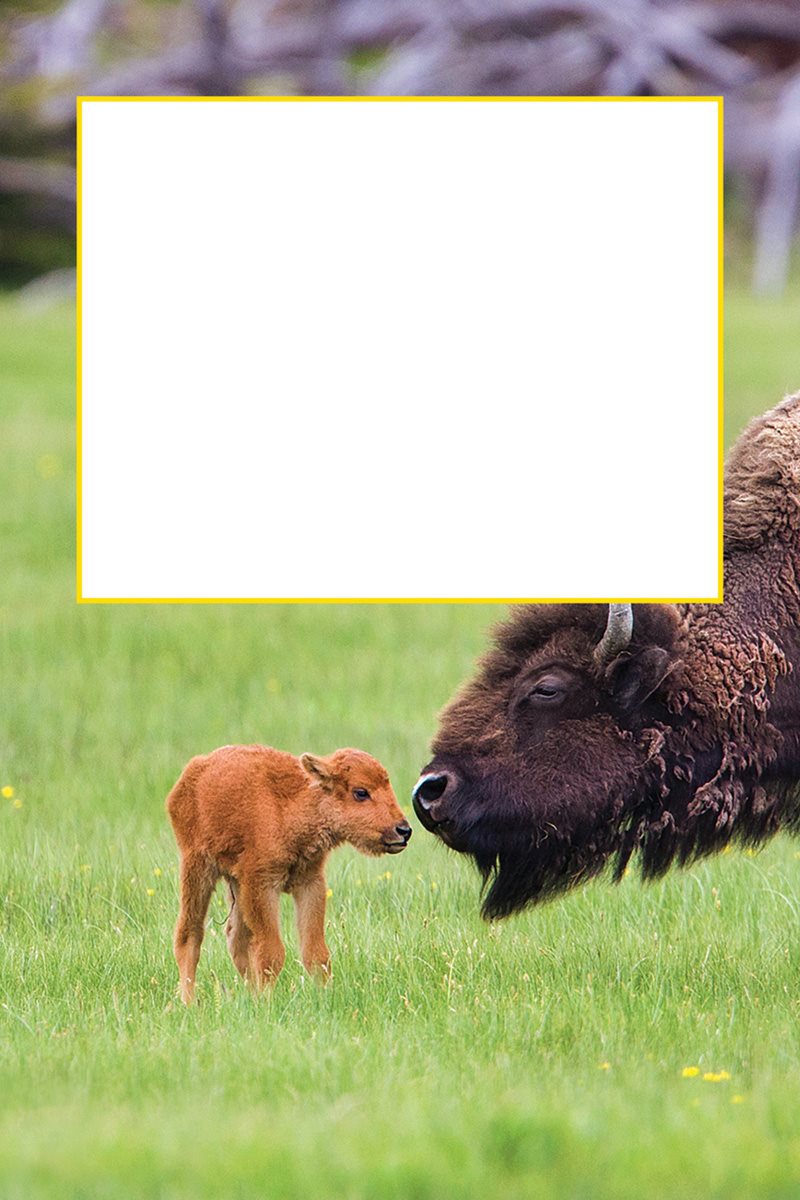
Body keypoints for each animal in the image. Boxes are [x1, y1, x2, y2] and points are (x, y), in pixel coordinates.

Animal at [165, 744, 410, 998]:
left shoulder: (309, 883)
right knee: (189, 935)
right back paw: (189, 1000)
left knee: (237, 940)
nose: (403, 830)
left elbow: (316, 954)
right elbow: (271, 952)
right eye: (361, 792)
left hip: (234, 883)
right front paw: (267, 1000)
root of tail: (192, 772)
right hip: (197, 868)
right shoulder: (262, 886)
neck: (291, 807)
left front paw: (324, 995)